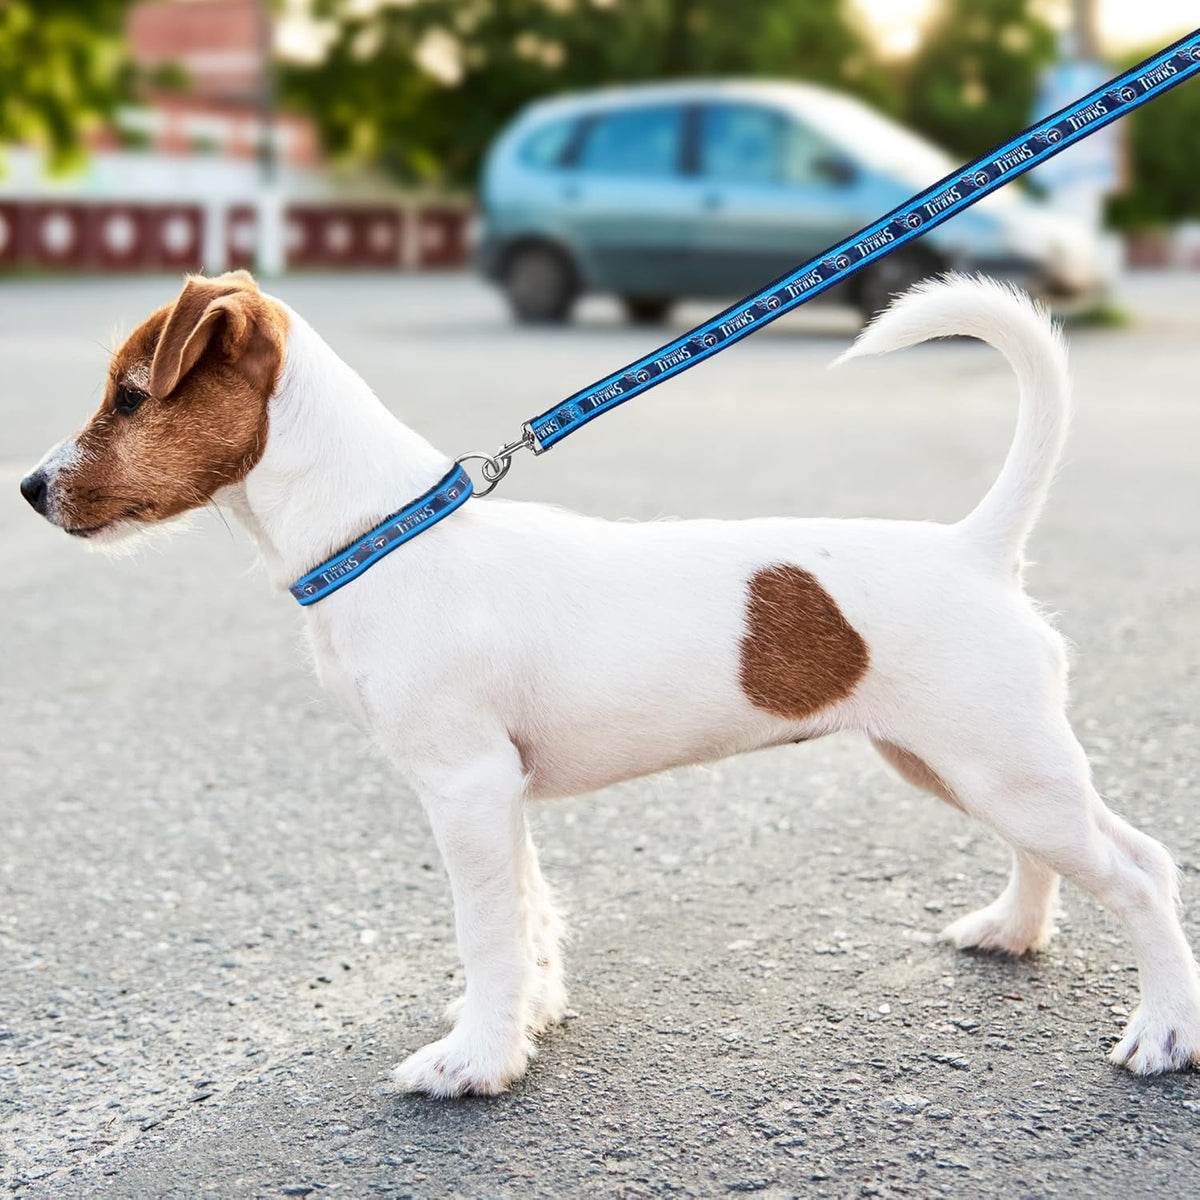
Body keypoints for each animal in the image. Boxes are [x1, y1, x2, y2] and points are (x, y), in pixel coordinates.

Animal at [21, 272, 1200, 1099]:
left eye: (130, 397)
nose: (29, 489)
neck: (384, 534)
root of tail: (976, 548)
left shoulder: (464, 789)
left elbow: (487, 934)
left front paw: (475, 1061)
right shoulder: (498, 794)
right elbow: (530, 914)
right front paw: (528, 1021)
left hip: (1006, 766)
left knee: (1144, 870)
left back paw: (1164, 1031)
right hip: (957, 763)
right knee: (1052, 856)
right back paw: (1013, 929)